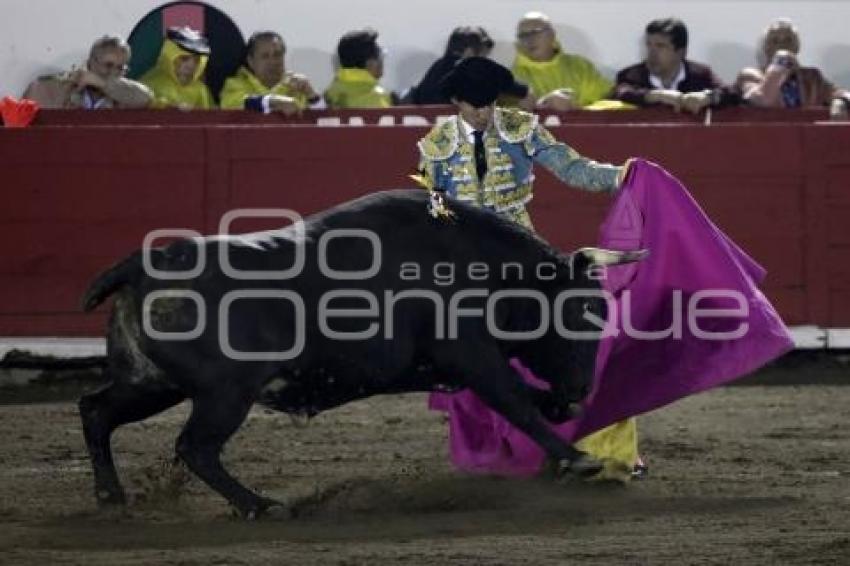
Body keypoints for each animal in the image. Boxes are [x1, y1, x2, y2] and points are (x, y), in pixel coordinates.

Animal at [79, 190, 644, 520]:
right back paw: (262, 506)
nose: (580, 390)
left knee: (97, 410)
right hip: (225, 393)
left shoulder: (454, 366)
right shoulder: (470, 355)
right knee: (194, 446)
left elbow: (524, 395)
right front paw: (579, 459)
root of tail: (144, 263)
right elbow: (515, 401)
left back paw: (112, 497)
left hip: (154, 383)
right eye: (583, 310)